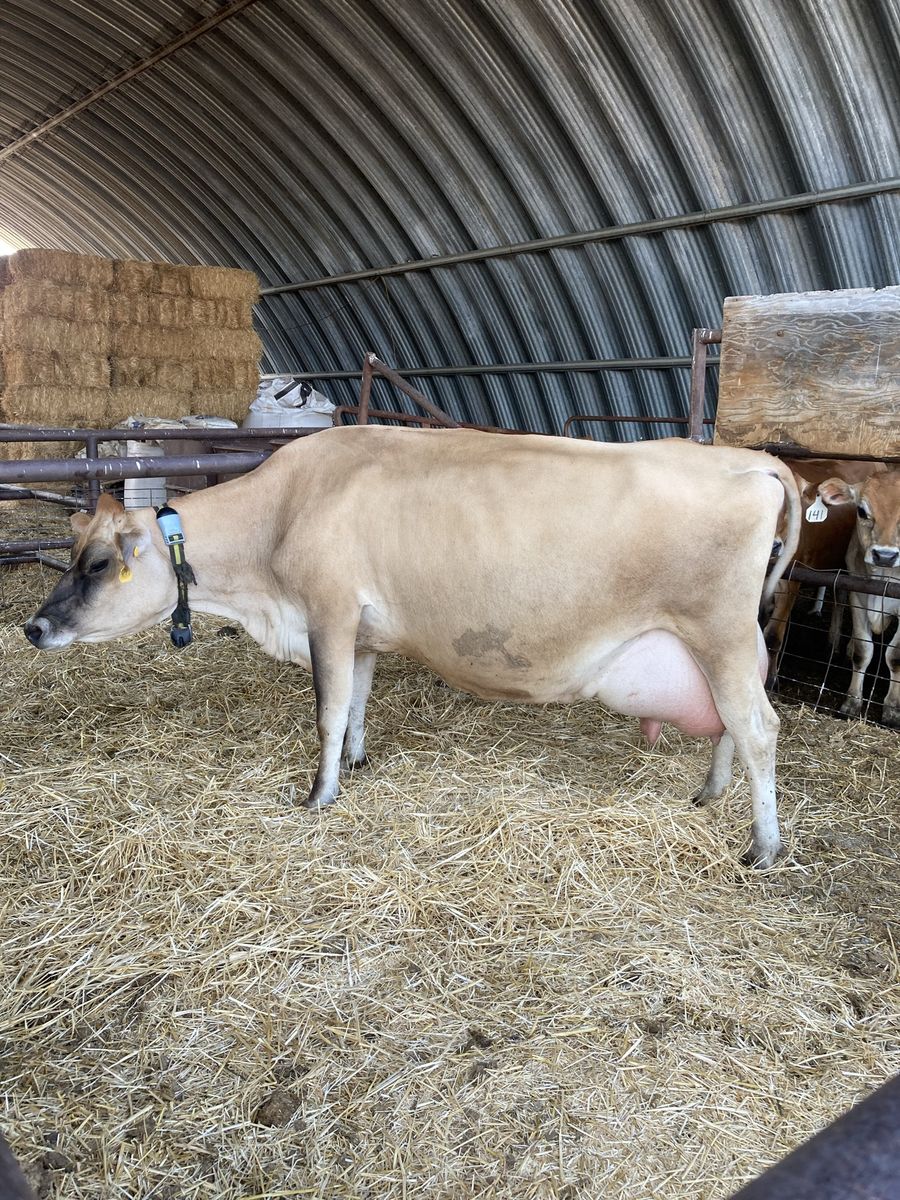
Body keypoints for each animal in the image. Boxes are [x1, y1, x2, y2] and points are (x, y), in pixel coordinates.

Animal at [24, 427, 800, 868]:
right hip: (715, 643)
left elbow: (327, 709)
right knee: (729, 724)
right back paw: (710, 792)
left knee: (759, 726)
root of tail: (749, 461)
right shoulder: (362, 632)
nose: (33, 628)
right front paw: (358, 761)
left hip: (720, 630)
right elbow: (358, 701)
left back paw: (762, 847)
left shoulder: (330, 613)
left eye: (98, 564)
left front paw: (321, 793)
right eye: (74, 556)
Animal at [819, 467, 900, 726]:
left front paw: (892, 709)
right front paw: (851, 702)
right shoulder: (858, 594)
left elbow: (894, 656)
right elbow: (863, 651)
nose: (885, 555)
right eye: (862, 510)